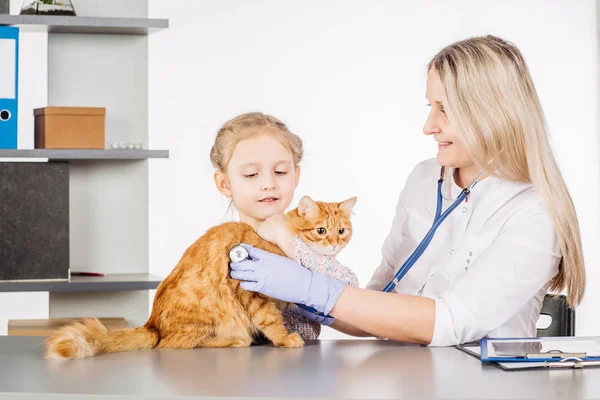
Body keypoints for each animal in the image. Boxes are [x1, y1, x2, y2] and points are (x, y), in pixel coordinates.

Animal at [48, 195, 356, 360]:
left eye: (342, 231)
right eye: (320, 231)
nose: (334, 245)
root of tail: (152, 323)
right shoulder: (251, 293)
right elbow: (271, 321)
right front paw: (285, 339)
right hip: (215, 315)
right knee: (177, 343)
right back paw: (237, 340)